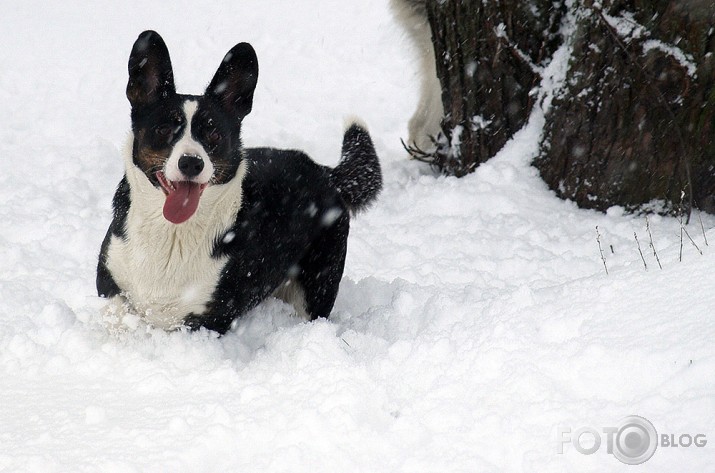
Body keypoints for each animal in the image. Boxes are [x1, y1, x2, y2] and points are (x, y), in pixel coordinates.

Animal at [99, 31, 386, 334]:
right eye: (164, 129)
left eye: (214, 134)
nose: (191, 163)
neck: (172, 233)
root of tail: (324, 171)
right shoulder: (109, 283)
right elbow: (116, 314)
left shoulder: (210, 320)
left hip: (318, 284)